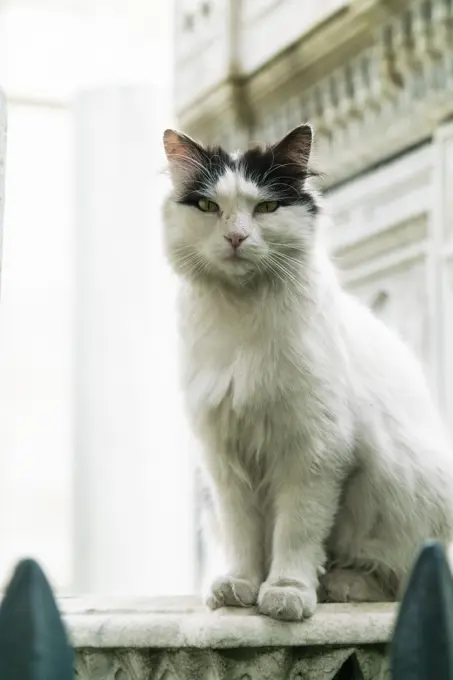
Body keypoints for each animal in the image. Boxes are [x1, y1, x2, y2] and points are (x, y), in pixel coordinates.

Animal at [161, 125, 452, 624]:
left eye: (266, 208)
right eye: (208, 207)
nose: (236, 237)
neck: (242, 318)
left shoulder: (314, 450)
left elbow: (296, 531)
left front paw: (286, 592)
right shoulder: (225, 457)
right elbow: (243, 533)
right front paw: (240, 585)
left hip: (405, 485)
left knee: (401, 575)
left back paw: (341, 584)